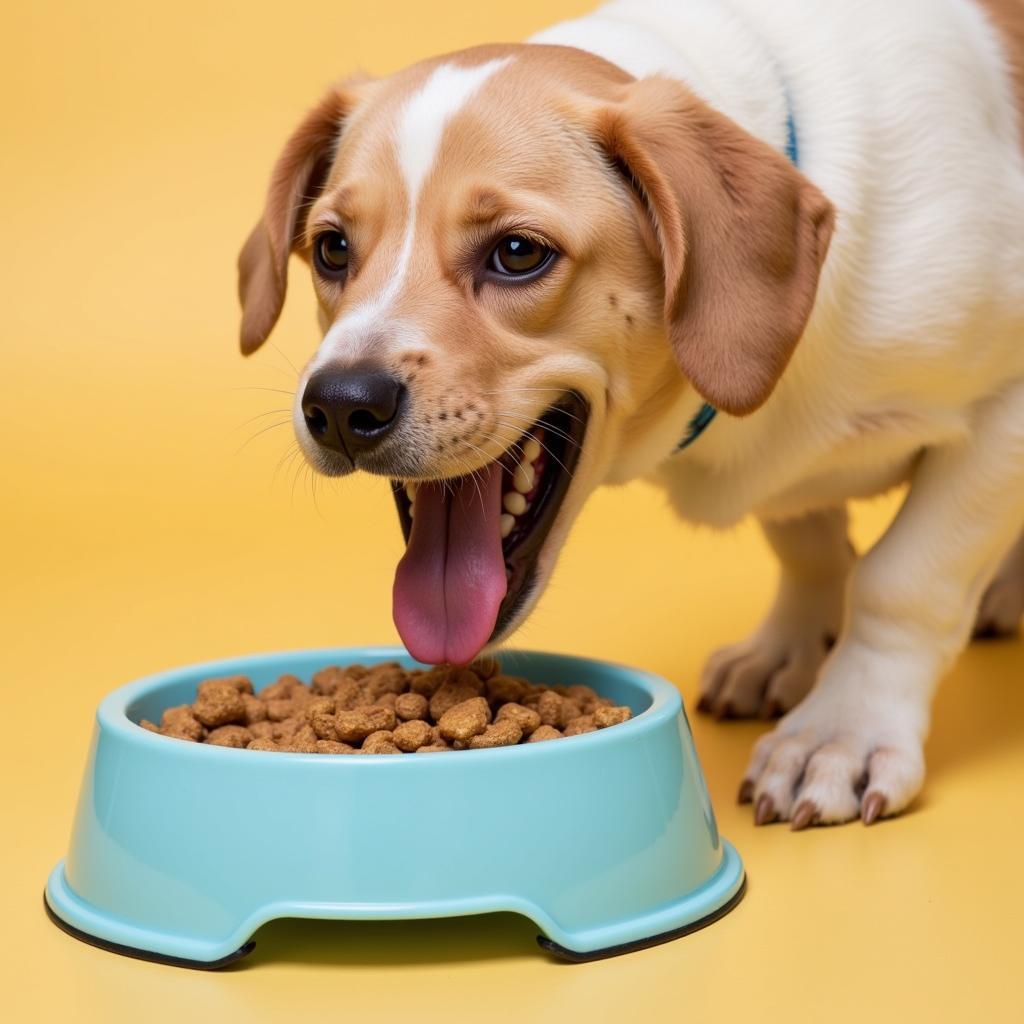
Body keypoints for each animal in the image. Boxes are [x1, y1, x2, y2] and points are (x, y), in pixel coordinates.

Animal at [234, 0, 1024, 827]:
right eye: (332, 248)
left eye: (518, 252)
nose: (340, 404)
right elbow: (808, 545)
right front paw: (792, 644)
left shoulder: (1003, 416)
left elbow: (902, 583)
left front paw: (843, 731)